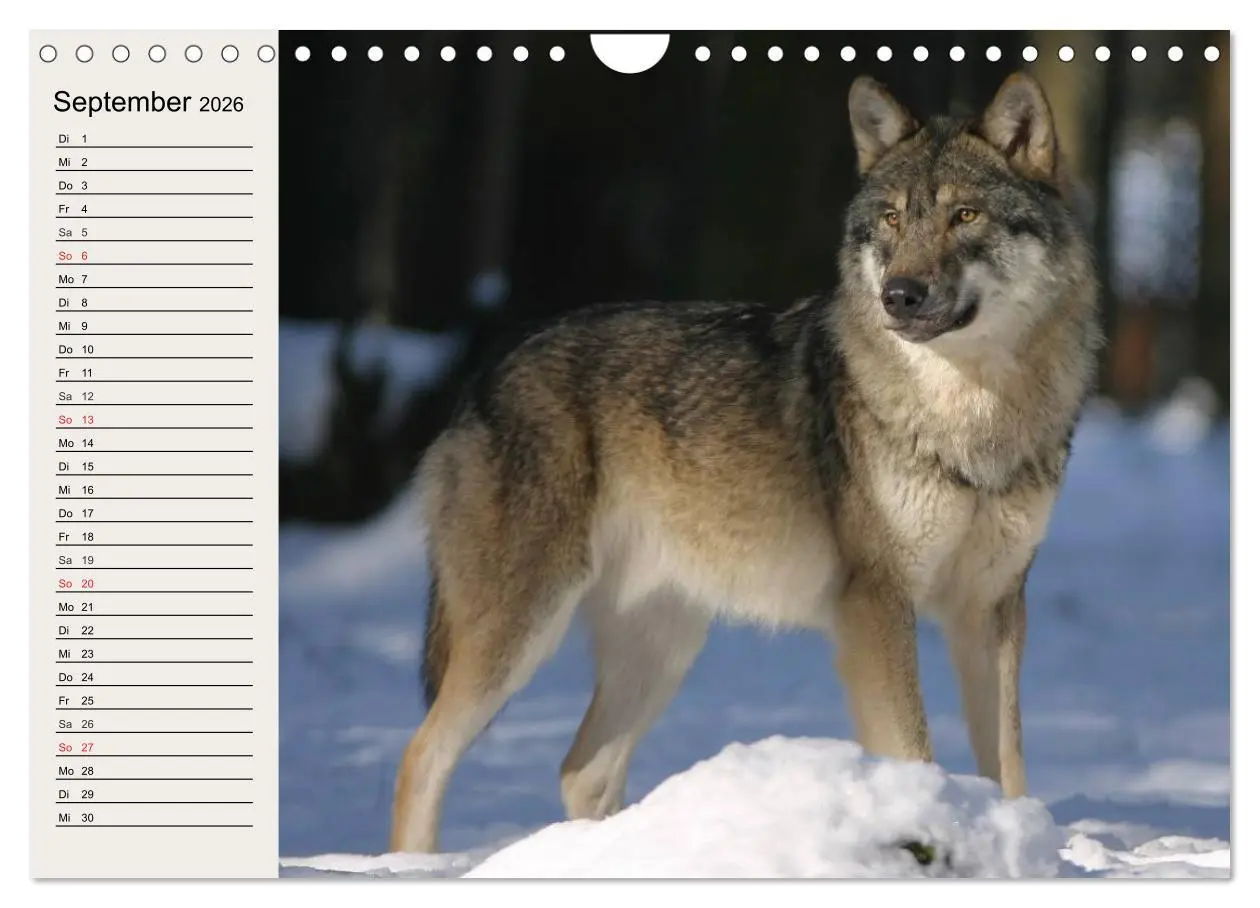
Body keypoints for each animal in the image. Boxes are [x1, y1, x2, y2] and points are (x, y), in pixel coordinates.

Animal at [390, 72, 1102, 853]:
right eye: (890, 219)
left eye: (964, 215)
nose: (899, 296)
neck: (972, 417)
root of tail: (484, 375)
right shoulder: (877, 604)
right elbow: (914, 748)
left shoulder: (992, 608)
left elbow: (1008, 765)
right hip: (522, 631)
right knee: (421, 752)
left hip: (663, 647)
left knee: (581, 769)